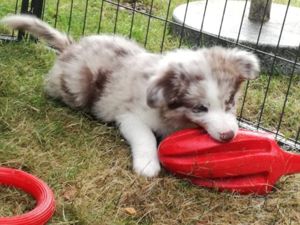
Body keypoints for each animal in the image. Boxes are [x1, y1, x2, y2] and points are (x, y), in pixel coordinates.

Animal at [1, 15, 258, 178]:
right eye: (199, 108)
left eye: (230, 102)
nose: (228, 136)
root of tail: (70, 47)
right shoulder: (129, 115)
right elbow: (146, 137)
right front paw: (147, 165)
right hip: (77, 87)